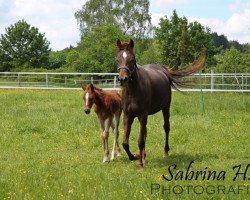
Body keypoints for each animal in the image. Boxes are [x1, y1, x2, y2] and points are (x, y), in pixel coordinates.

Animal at [116, 38, 206, 169]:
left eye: (132, 59)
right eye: (117, 59)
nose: (123, 79)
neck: (132, 90)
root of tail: (164, 71)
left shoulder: (142, 115)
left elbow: (140, 141)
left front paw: (140, 163)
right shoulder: (128, 116)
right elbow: (125, 143)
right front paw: (137, 157)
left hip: (165, 108)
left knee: (166, 128)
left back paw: (165, 152)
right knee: (145, 132)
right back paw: (144, 156)